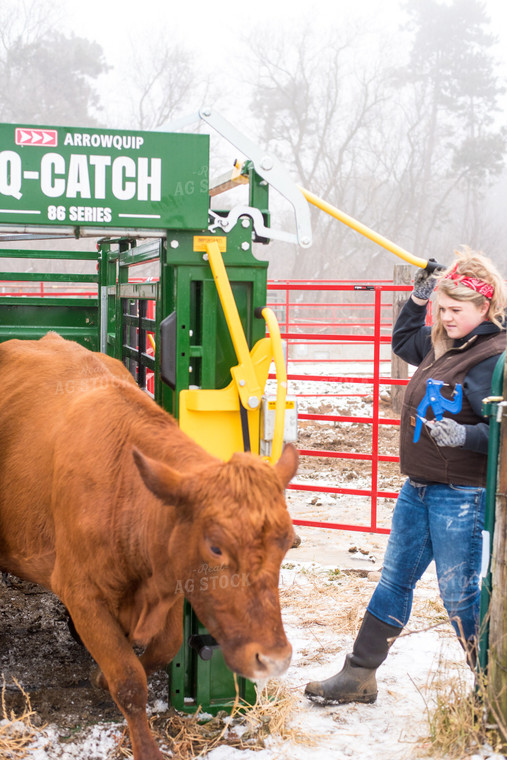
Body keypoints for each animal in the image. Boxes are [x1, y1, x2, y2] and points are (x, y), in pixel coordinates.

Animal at [0, 334, 298, 760]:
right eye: (216, 548)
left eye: (286, 543)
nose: (273, 659)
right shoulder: (82, 594)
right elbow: (128, 678)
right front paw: (145, 746)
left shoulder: (170, 581)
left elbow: (163, 648)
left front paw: (99, 675)